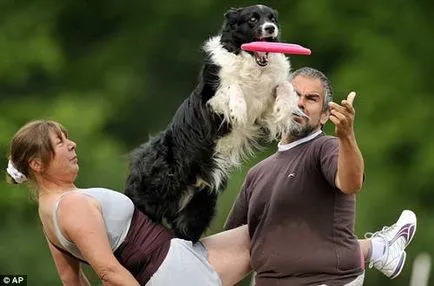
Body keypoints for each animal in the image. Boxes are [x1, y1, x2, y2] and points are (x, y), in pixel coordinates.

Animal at [124, 4, 304, 241]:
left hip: (200, 206)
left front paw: (288, 107)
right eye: (252, 19)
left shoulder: (264, 111)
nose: (270, 28)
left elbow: (283, 86)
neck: (253, 64)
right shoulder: (210, 100)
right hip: (157, 188)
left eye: (272, 18)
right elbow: (231, 85)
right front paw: (238, 109)